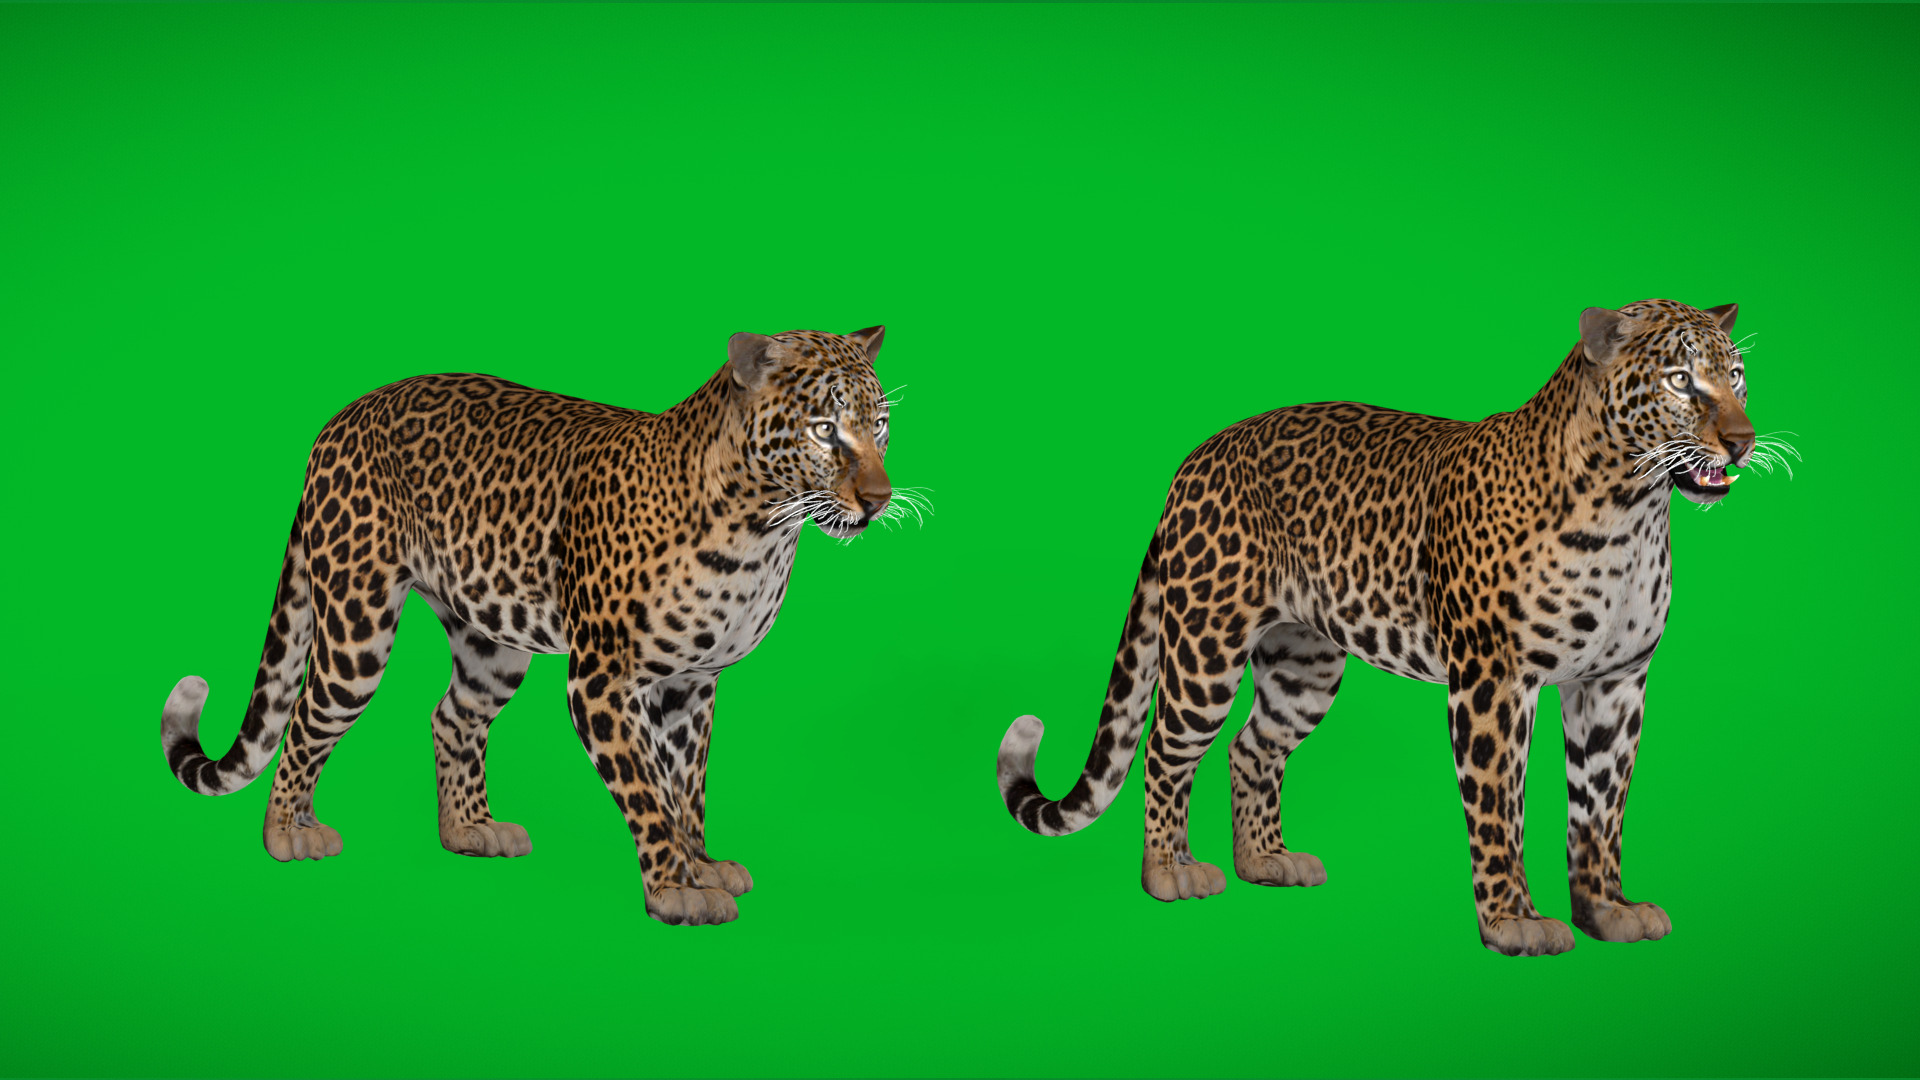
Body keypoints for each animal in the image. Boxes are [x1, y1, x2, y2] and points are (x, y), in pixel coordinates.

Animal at [162, 326, 907, 926]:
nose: (879, 499)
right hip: (356, 623)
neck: (762, 531)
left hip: (490, 638)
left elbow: (686, 785)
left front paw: (700, 864)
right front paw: (676, 890)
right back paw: (289, 833)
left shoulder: (692, 683)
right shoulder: (604, 678)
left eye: (880, 424)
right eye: (824, 428)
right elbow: (647, 788)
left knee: (451, 716)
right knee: (307, 716)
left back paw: (469, 830)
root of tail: (338, 419)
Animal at [998, 299, 1779, 956]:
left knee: (1252, 747)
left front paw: (1607, 910)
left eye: (1737, 377)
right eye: (1680, 381)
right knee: (1165, 748)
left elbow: (1601, 806)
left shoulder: (1616, 682)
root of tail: (1194, 460)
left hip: (1303, 665)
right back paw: (1171, 870)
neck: (1631, 509)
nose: (1742, 442)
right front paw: (1514, 923)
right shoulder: (1493, 679)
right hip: (1205, 648)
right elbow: (1499, 807)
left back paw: (1266, 860)